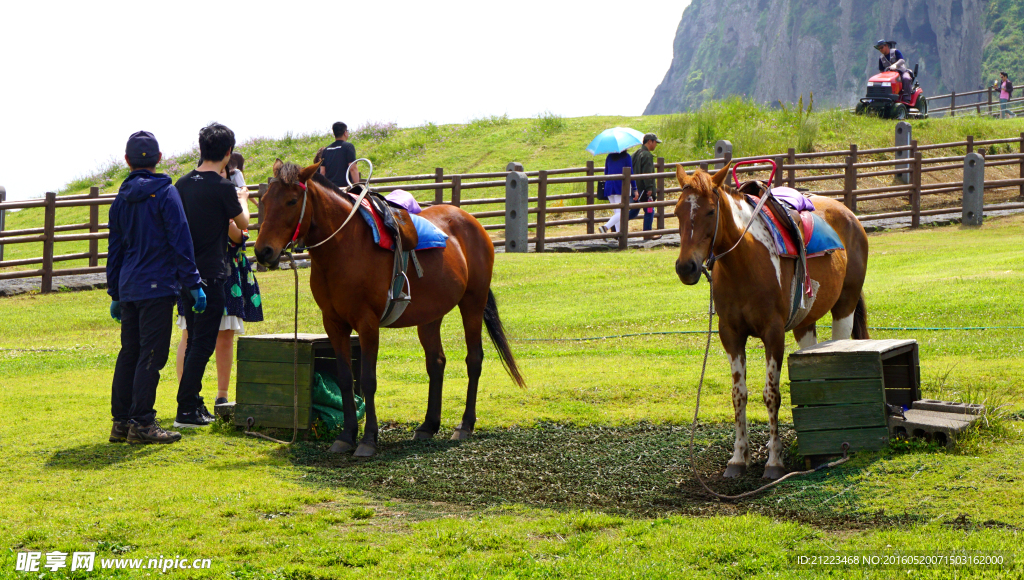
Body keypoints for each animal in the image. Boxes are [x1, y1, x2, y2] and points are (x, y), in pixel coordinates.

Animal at [252, 159, 524, 459]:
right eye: (264, 200)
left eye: (291, 200)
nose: (263, 251)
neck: (344, 247)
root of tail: (471, 222)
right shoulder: (333, 323)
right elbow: (346, 379)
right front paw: (346, 436)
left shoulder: (367, 323)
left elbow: (368, 380)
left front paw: (368, 439)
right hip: (430, 315)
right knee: (436, 362)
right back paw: (429, 425)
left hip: (473, 303)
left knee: (474, 360)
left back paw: (465, 425)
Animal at [675, 163, 868, 481]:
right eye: (678, 211)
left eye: (711, 212)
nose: (685, 267)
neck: (744, 262)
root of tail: (848, 214)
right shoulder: (730, 334)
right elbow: (739, 395)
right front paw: (739, 457)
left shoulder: (773, 333)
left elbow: (771, 394)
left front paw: (774, 461)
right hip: (805, 324)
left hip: (845, 307)